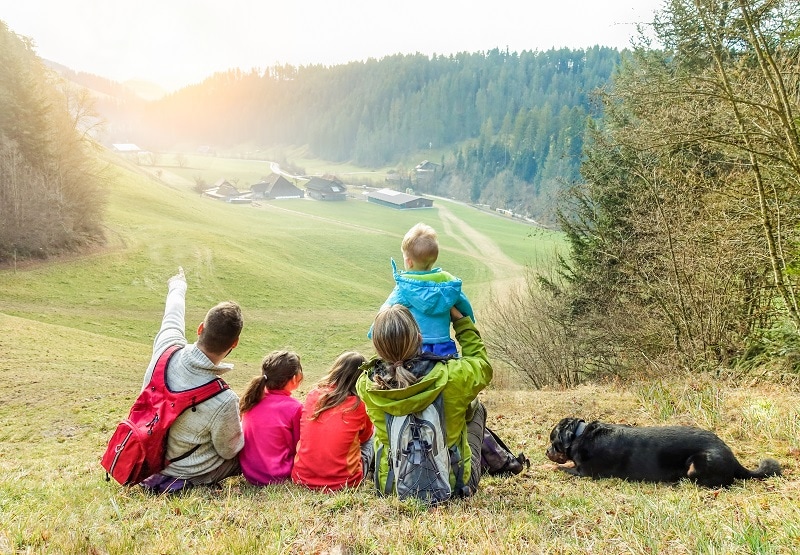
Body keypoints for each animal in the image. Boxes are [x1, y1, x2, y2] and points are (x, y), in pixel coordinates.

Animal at [544, 420, 780, 488]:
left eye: (553, 441)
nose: (546, 452)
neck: (579, 434)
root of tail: (732, 457)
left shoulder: (584, 472)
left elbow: (563, 467)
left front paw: (551, 465)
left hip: (698, 464)